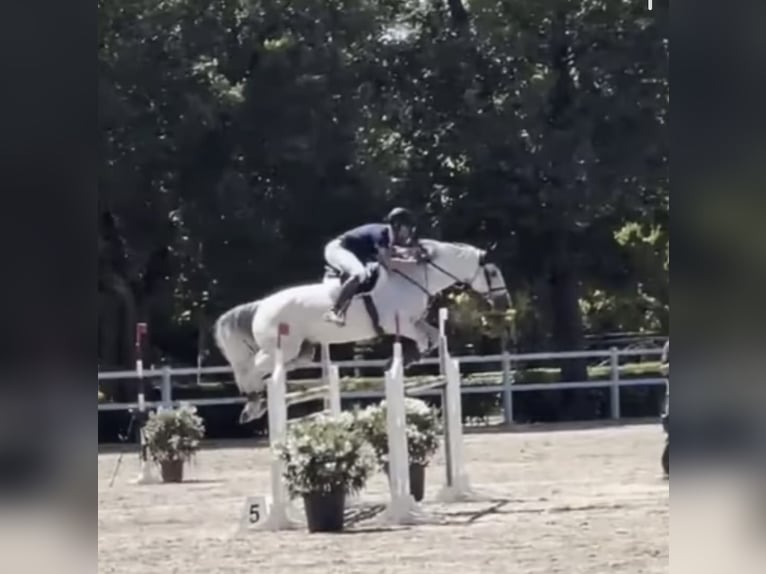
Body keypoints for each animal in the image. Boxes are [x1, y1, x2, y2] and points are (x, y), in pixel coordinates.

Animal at [214, 239, 510, 424]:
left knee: (279, 365)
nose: (504, 303)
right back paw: (253, 404)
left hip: (302, 350)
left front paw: (402, 360)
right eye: (494, 273)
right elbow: (425, 340)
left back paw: (258, 401)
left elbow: (433, 340)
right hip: (281, 346)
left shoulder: (415, 323)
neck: (415, 277)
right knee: (251, 368)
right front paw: (396, 362)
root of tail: (261, 305)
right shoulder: (400, 323)